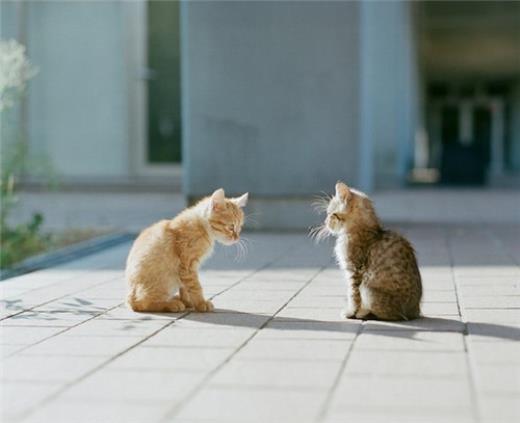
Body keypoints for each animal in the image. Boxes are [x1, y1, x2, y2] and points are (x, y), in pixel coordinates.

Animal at [314, 182, 420, 322]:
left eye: (331, 214)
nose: (325, 222)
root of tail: (415, 312)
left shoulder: (355, 271)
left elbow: (353, 295)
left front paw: (351, 312)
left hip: (369, 289)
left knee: (394, 316)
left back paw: (366, 314)